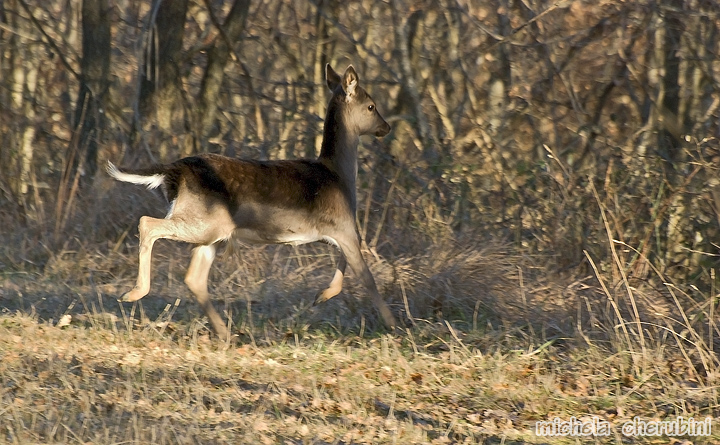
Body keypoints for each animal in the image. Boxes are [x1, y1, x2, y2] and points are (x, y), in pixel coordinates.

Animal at [107, 63, 400, 340]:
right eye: (371, 105)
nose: (386, 127)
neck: (339, 176)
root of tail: (172, 172)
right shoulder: (343, 226)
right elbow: (366, 276)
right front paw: (394, 325)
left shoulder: (336, 231)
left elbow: (345, 263)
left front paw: (321, 295)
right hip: (205, 221)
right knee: (148, 224)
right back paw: (133, 293)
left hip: (213, 233)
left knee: (194, 277)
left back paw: (225, 333)